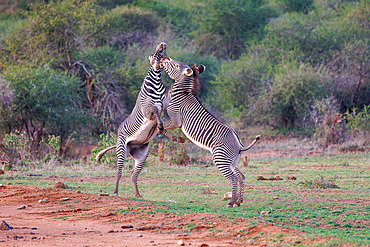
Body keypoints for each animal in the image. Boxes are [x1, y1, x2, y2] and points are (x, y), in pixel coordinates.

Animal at [97, 42, 184, 197]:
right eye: (156, 54)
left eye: (164, 52)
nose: (162, 44)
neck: (156, 83)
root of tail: (132, 146)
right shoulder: (147, 109)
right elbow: (156, 113)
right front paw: (161, 127)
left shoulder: (165, 104)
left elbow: (163, 114)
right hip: (122, 150)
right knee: (119, 171)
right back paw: (115, 192)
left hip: (142, 155)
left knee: (133, 174)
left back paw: (137, 194)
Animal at [160, 57, 262, 207]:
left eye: (175, 65)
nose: (163, 58)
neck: (182, 94)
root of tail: (239, 144)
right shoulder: (174, 121)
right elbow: (160, 126)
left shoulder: (176, 120)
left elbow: (160, 127)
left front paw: (177, 139)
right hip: (233, 161)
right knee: (241, 176)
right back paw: (239, 201)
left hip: (220, 159)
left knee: (233, 178)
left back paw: (231, 202)